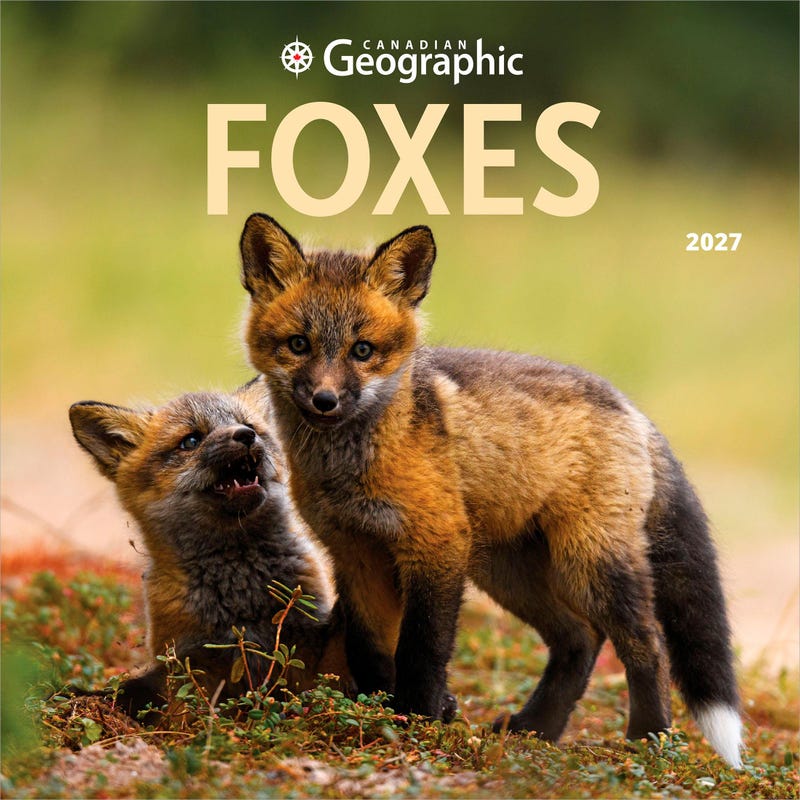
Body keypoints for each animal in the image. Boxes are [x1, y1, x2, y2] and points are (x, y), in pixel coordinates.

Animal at [68, 380, 349, 720]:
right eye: (191, 440)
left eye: (249, 425)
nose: (246, 435)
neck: (242, 598)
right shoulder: (190, 659)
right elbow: (187, 712)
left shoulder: (306, 639)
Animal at [237, 213, 744, 768]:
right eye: (298, 344)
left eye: (362, 350)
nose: (325, 400)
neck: (350, 469)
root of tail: (629, 406)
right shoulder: (355, 551)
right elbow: (369, 647)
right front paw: (377, 711)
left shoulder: (436, 544)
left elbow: (422, 646)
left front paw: (417, 718)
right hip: (507, 572)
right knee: (580, 641)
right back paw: (536, 728)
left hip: (588, 563)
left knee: (645, 642)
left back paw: (648, 738)